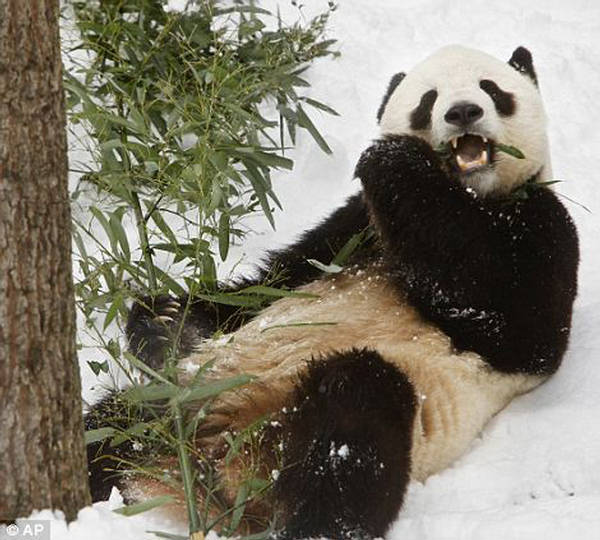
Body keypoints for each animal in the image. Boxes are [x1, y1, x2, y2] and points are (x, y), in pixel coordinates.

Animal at [86, 46, 580, 540]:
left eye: (491, 90)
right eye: (428, 100)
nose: (462, 113)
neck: (468, 195)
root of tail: (219, 473)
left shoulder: (541, 222)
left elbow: (513, 319)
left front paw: (394, 159)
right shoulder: (353, 229)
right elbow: (270, 283)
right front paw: (165, 320)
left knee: (351, 419)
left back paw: (313, 522)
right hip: (176, 407)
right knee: (107, 429)